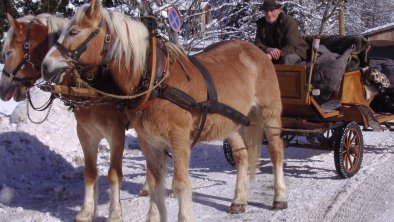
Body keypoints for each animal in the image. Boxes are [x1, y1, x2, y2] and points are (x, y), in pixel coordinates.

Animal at [0, 13, 152, 220]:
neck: (93, 85)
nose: (2, 89)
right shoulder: (85, 132)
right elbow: (90, 172)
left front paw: (114, 212)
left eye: (8, 52)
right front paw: (88, 210)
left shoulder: (116, 134)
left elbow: (114, 173)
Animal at [42, 0, 286, 221]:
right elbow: (155, 182)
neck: (155, 80)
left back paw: (280, 197)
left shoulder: (177, 140)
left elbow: (179, 184)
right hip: (231, 122)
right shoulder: (147, 141)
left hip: (269, 114)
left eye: (74, 31)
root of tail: (256, 51)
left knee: (276, 151)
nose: (46, 66)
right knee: (242, 156)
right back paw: (239, 200)